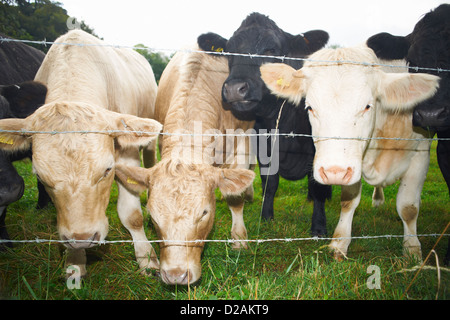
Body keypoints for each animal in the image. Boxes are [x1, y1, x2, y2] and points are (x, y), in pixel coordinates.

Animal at [0, 30, 163, 278]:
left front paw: (146, 257)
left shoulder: (127, 154)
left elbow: (132, 215)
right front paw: (75, 263)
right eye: (40, 177)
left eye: (107, 170)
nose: (82, 239)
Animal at [114, 47, 255, 284]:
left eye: (205, 212)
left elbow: (235, 198)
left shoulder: (242, 142)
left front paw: (239, 239)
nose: (175, 275)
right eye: (153, 216)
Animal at [195, 12, 332, 236]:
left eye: (271, 50)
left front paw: (319, 227)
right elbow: (270, 182)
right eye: (230, 51)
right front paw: (266, 217)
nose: (234, 89)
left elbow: (317, 184)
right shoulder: (264, 145)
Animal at [260, 45, 440, 262]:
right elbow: (348, 202)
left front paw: (412, 251)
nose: (333, 172)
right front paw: (339, 244)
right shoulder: (352, 166)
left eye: (367, 106)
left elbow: (408, 208)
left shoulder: (420, 154)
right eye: (310, 107)